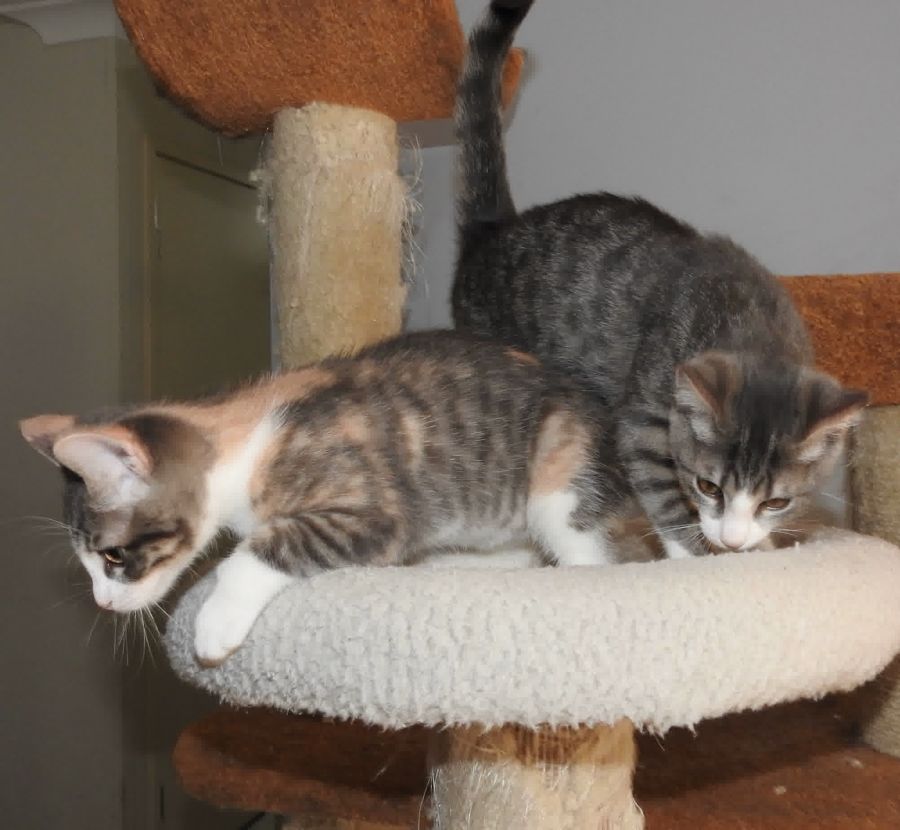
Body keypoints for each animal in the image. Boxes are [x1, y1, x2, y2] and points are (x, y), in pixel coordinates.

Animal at [20, 330, 626, 666]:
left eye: (113, 555)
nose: (103, 602)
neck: (248, 436)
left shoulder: (376, 509)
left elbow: (262, 549)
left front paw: (216, 620)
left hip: (558, 472)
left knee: (587, 548)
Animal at [452, 0, 868, 559]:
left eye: (776, 501)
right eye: (707, 486)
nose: (733, 539)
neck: (750, 320)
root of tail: (493, 230)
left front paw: (757, 548)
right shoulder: (645, 416)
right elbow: (660, 491)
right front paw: (693, 554)